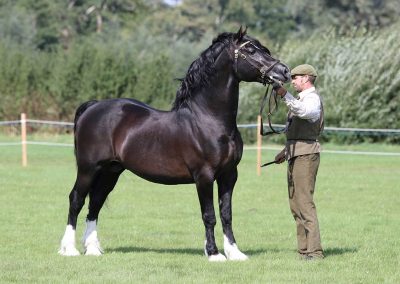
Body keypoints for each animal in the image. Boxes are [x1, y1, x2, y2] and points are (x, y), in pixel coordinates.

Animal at [58, 27, 290, 262]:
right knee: (76, 200)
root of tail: (93, 107)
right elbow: (209, 215)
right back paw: (69, 249)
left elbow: (226, 214)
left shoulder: (229, 175)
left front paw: (234, 252)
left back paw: (92, 249)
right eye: (251, 50)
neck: (209, 120)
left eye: (264, 49)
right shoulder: (204, 176)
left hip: (111, 171)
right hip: (89, 168)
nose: (284, 72)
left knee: (95, 203)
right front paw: (214, 253)